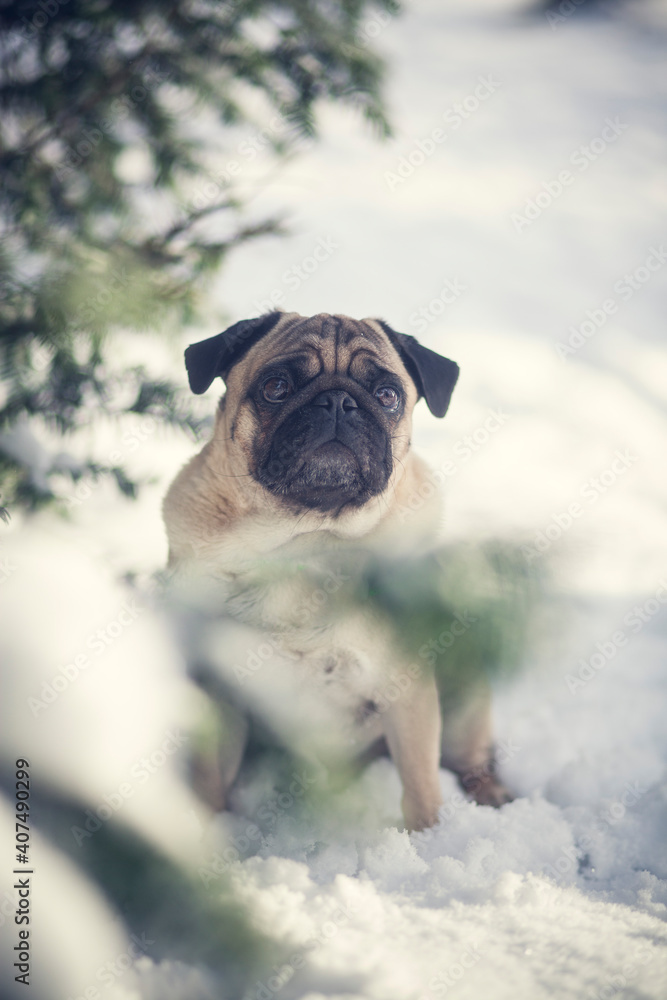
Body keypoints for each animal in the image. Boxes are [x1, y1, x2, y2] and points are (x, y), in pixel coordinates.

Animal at [163, 310, 512, 828]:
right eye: (277, 386)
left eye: (387, 395)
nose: (337, 402)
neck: (305, 541)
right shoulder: (218, 691)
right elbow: (208, 780)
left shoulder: (405, 688)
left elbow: (420, 785)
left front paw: (427, 836)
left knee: (470, 759)